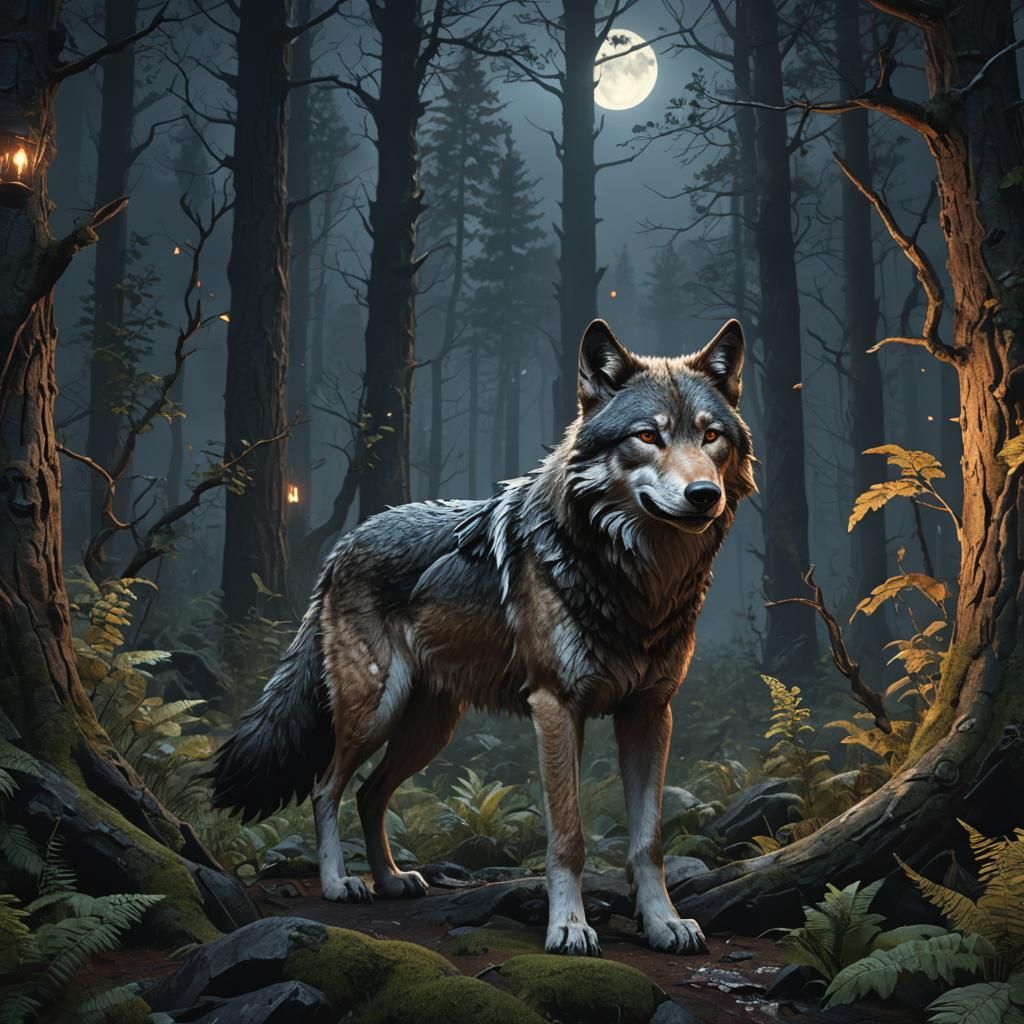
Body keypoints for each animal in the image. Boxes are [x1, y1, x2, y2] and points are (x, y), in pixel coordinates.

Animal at [212, 318, 756, 956]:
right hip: (376, 709)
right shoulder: (555, 707)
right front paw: (569, 927)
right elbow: (567, 836)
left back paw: (392, 879)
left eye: (711, 436)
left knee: (370, 794)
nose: (704, 496)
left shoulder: (650, 713)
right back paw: (341, 883)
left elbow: (648, 841)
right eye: (648, 436)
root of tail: (345, 542)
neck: (636, 583)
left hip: (430, 729)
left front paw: (664, 922)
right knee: (326, 787)